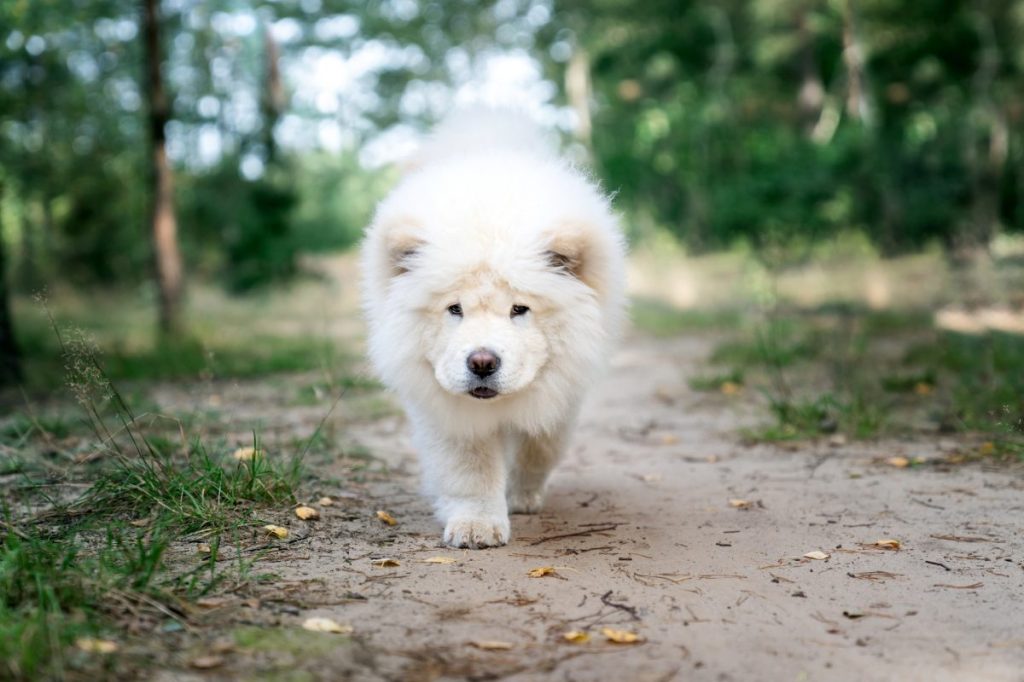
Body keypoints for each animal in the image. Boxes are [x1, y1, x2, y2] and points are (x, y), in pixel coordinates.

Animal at [364, 111, 626, 548]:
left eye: (519, 309)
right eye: (454, 309)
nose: (482, 362)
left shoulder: (562, 389)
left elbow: (540, 447)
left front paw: (521, 496)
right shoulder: (446, 408)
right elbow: (470, 468)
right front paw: (476, 526)